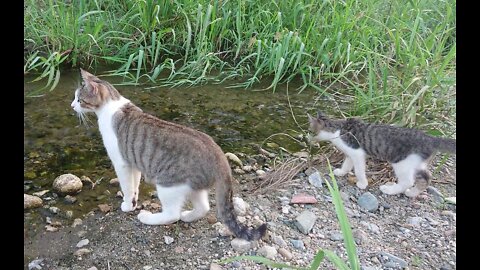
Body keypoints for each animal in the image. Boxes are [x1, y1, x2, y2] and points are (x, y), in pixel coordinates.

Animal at [71, 69, 266, 240]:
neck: (112, 106)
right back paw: (188, 216)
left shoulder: (121, 163)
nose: (72, 106)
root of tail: (219, 156)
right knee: (203, 207)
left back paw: (148, 217)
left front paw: (127, 205)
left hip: (168, 183)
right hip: (193, 185)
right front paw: (133, 202)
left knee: (172, 214)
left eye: (79, 99)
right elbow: (135, 186)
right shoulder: (135, 163)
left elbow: (127, 187)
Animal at [308, 110, 458, 197]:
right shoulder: (351, 154)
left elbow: (359, 170)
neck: (337, 129)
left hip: (401, 163)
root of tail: (429, 138)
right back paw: (412, 193)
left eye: (311, 130)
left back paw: (389, 190)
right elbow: (347, 164)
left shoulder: (357, 153)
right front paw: (340, 172)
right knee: (426, 178)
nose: (306, 136)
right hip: (416, 162)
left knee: (408, 181)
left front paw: (362, 183)